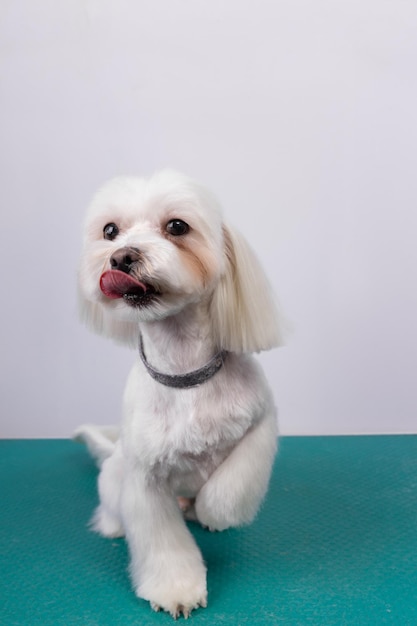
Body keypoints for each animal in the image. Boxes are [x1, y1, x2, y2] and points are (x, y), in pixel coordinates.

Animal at [74, 168, 282, 616]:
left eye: (177, 227)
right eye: (110, 231)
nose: (121, 257)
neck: (185, 375)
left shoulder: (262, 425)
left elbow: (230, 487)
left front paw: (214, 513)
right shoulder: (144, 479)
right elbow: (162, 542)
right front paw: (176, 590)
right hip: (115, 473)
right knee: (111, 503)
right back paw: (113, 526)